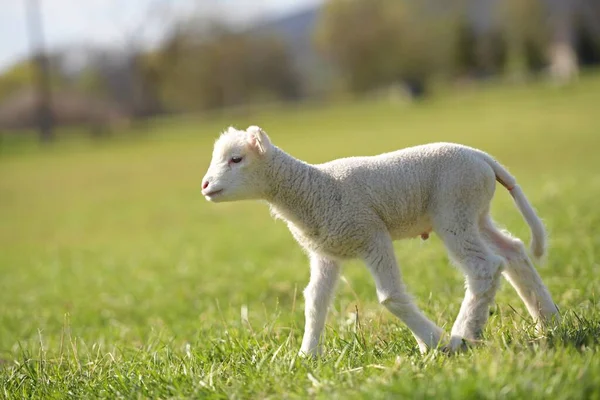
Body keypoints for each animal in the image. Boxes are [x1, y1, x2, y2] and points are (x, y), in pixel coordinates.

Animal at [203, 126, 564, 356]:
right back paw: (548, 321)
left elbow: (390, 297)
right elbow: (315, 301)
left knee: (484, 267)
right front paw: (308, 356)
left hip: (454, 209)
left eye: (236, 159)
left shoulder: (371, 235)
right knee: (514, 252)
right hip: (475, 213)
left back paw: (462, 336)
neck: (312, 188)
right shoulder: (327, 251)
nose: (205, 186)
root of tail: (482, 157)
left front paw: (433, 343)